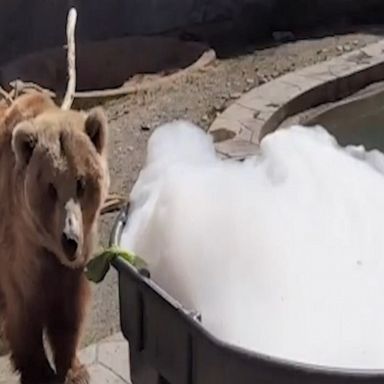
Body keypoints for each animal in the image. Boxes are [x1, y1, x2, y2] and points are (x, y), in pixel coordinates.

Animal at [0, 91, 109, 382]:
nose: (69, 239)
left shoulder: (74, 261)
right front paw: (38, 370)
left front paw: (74, 369)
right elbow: (25, 311)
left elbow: (69, 311)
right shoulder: (20, 250)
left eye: (81, 183)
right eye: (51, 188)